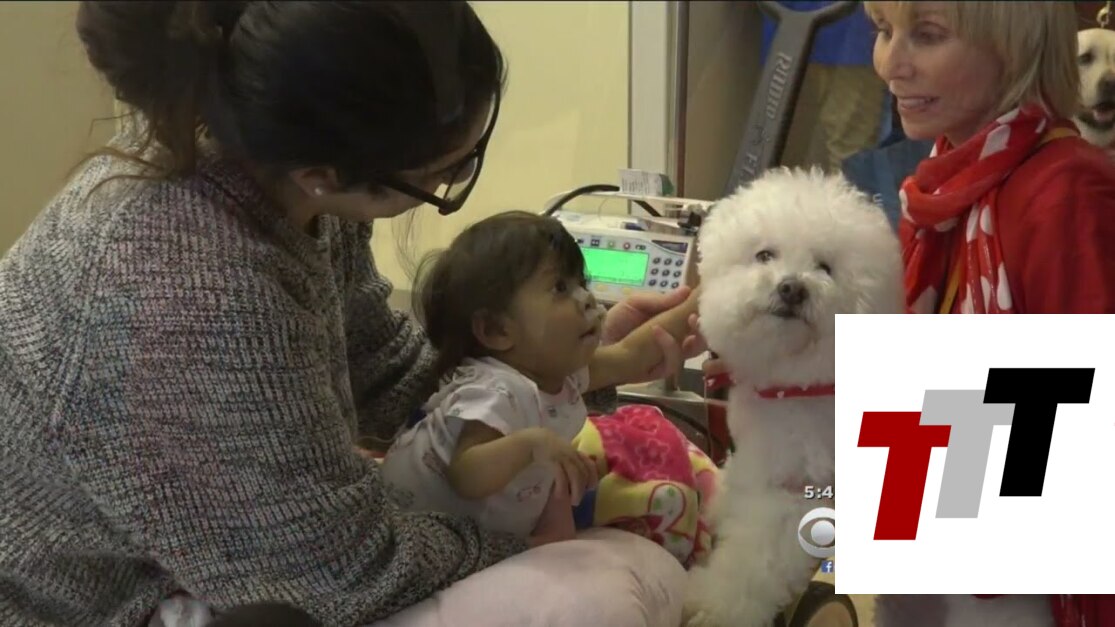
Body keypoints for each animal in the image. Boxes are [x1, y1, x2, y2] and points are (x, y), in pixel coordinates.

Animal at [682, 168, 903, 627]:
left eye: (825, 267)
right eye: (765, 255)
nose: (791, 288)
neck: (798, 385)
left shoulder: (795, 501)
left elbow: (750, 566)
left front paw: (713, 605)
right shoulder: (756, 462)